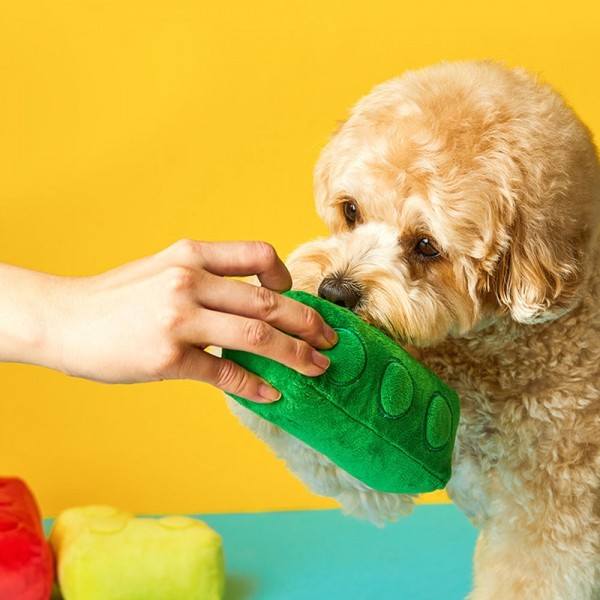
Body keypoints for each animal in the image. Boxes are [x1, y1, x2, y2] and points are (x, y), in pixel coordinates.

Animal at [229, 59, 600, 596]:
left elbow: (533, 569)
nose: (334, 292)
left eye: (426, 245)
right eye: (351, 210)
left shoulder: (551, 519)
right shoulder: (377, 464)